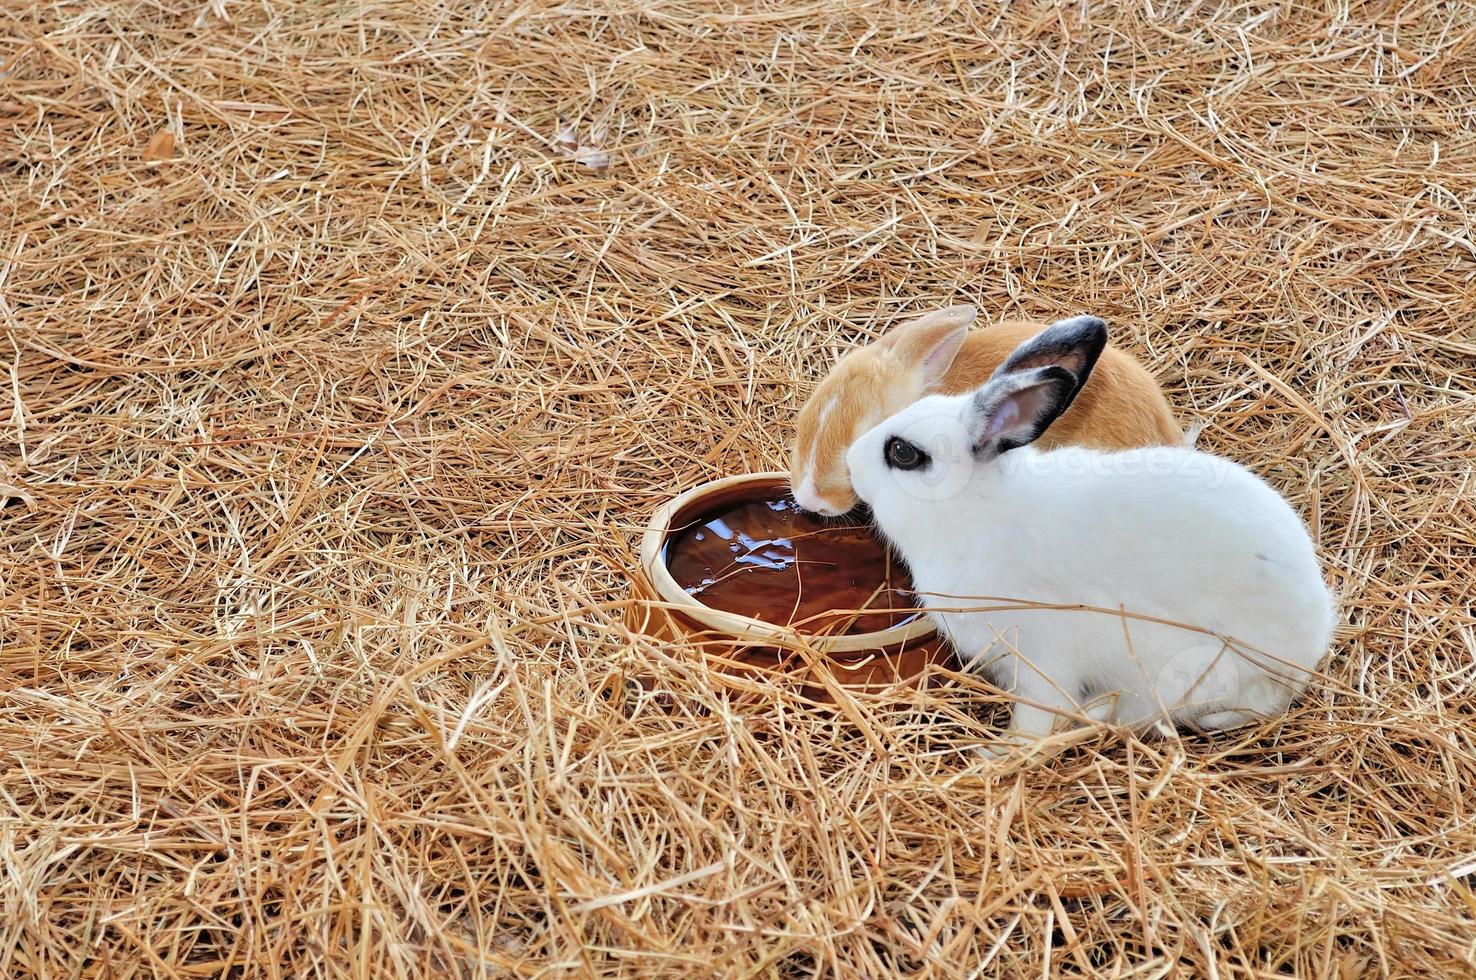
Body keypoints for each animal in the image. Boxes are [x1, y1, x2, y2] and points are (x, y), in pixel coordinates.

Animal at [844, 317, 1340, 746]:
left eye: (903, 453)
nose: (850, 462)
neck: (975, 506)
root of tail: (1311, 647)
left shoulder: (1042, 657)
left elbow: (1038, 716)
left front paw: (1000, 753)